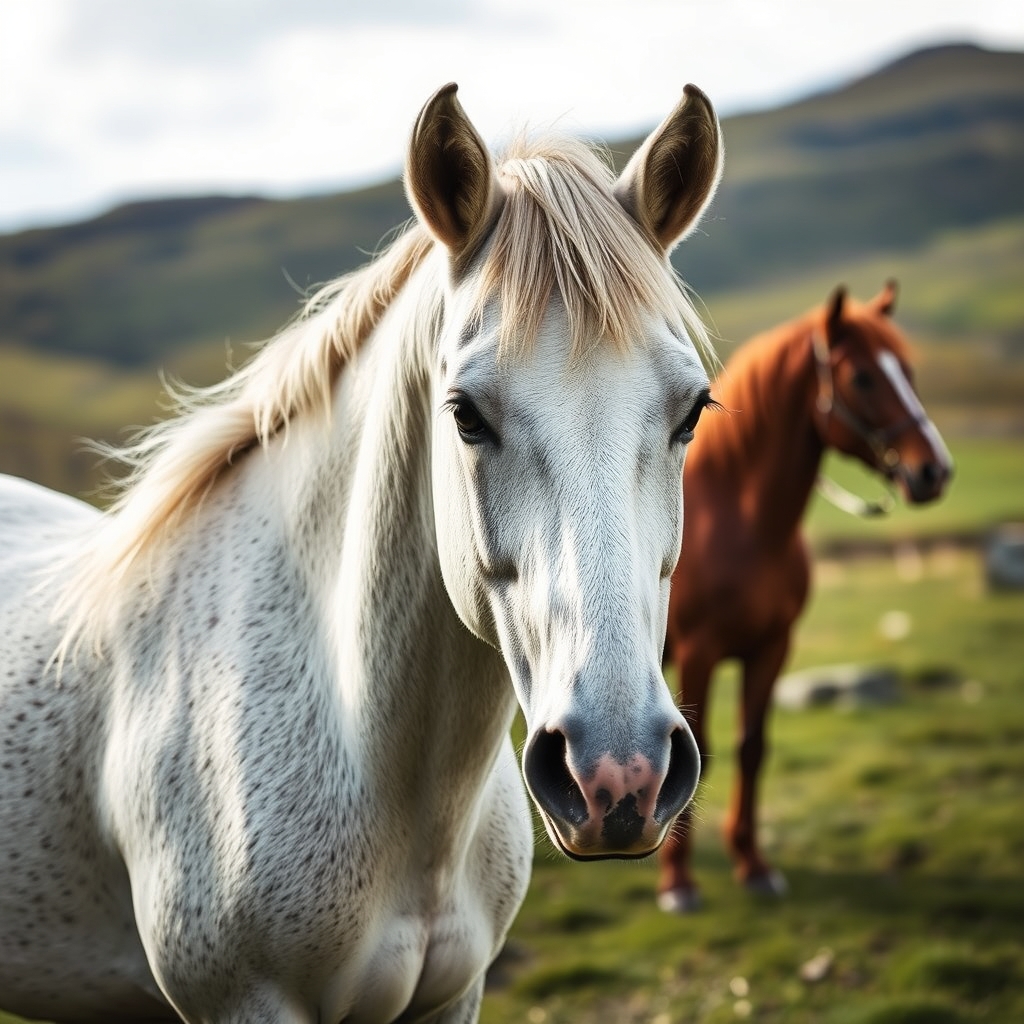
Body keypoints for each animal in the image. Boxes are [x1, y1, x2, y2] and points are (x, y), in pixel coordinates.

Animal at [657, 282, 953, 913]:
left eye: (908, 369)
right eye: (863, 377)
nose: (933, 471)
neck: (739, 523)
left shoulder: (772, 648)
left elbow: (751, 747)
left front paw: (753, 866)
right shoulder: (699, 654)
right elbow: (700, 749)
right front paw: (679, 883)